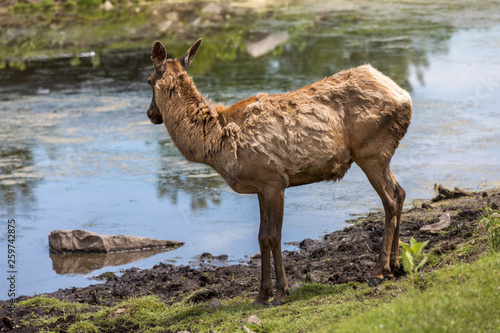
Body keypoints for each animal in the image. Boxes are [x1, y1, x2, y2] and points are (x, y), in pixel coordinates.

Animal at [146, 38, 412, 304]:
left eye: (148, 80)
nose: (151, 114)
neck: (217, 146)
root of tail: (405, 97)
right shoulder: (260, 187)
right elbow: (262, 237)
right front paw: (262, 293)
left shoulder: (274, 180)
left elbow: (274, 236)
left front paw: (281, 292)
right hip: (380, 154)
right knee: (400, 193)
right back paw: (395, 267)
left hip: (371, 151)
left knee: (390, 200)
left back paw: (379, 270)